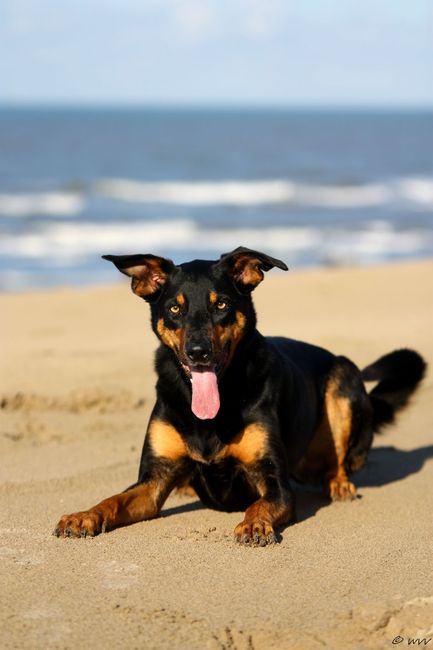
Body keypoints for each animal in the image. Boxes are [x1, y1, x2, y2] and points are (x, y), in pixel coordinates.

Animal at [54, 247, 426, 546]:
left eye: (221, 304)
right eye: (174, 309)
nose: (198, 352)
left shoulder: (275, 483)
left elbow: (259, 503)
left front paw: (254, 525)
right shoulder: (153, 480)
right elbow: (113, 499)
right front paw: (83, 515)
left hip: (343, 378)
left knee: (340, 461)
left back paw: (339, 483)